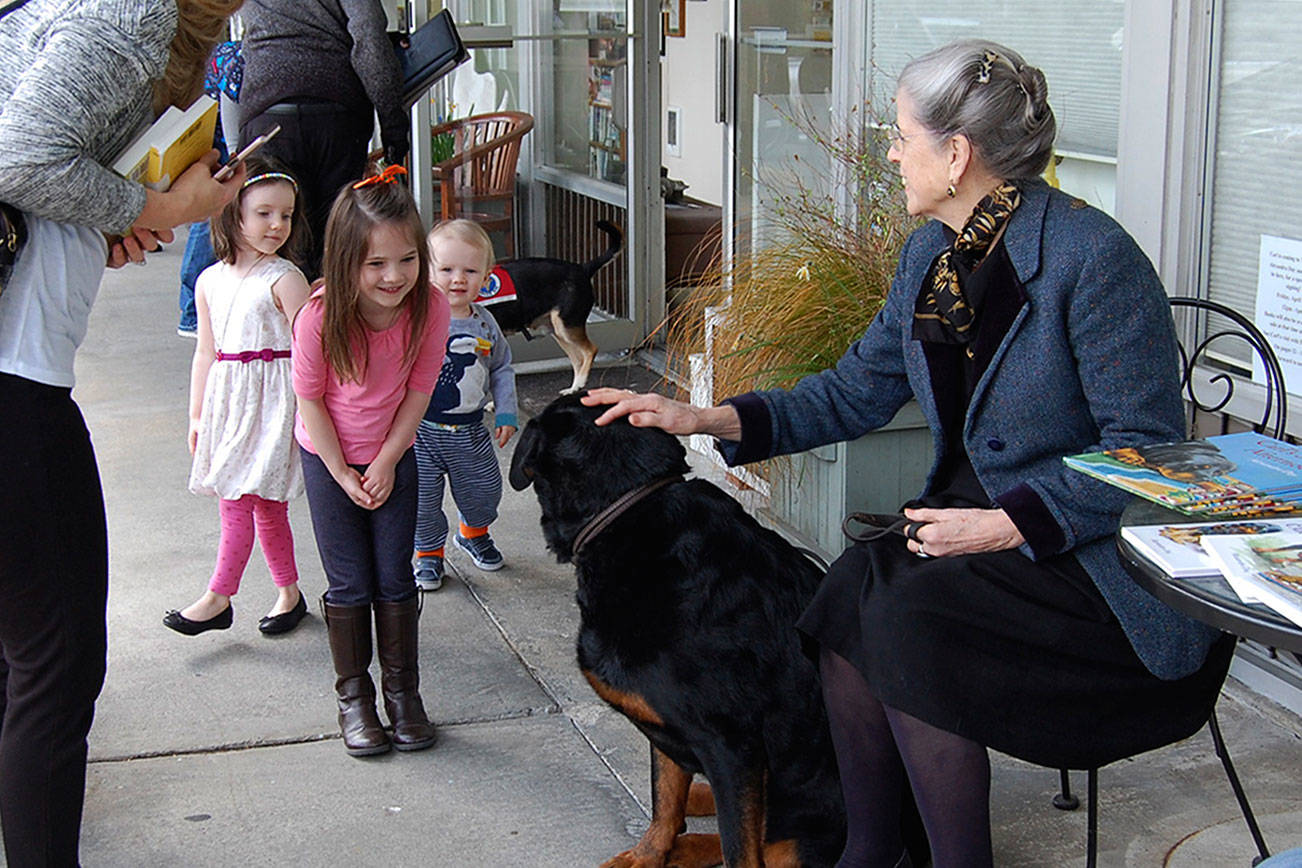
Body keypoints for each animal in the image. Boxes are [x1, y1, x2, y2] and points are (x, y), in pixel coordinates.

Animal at [489, 221, 619, 393]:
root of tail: (583, 268)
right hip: (558, 331)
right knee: (578, 359)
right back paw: (573, 388)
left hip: (566, 327)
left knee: (590, 350)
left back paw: (580, 382)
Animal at [507, 395, 843, 868]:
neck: (625, 512)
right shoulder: (674, 732)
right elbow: (664, 794)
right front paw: (648, 853)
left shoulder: (731, 744)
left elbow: (740, 849)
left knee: (768, 842)